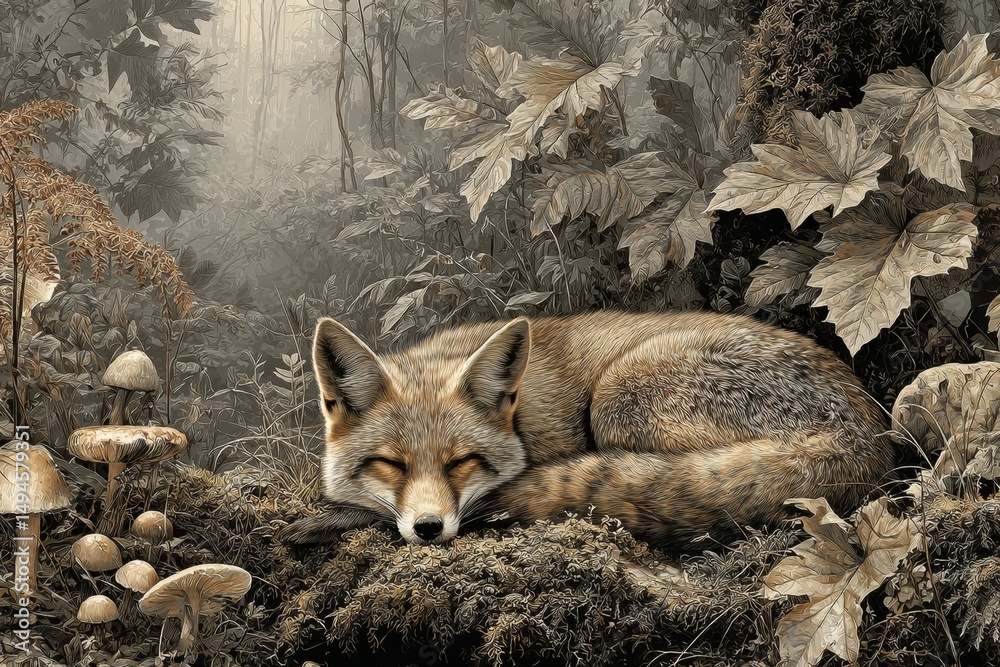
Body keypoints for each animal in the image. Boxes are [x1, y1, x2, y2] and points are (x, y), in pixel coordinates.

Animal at [284, 311, 894, 551]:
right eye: (391, 464)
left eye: (462, 462)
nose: (431, 529)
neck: (522, 418)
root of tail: (870, 430)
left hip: (618, 400)